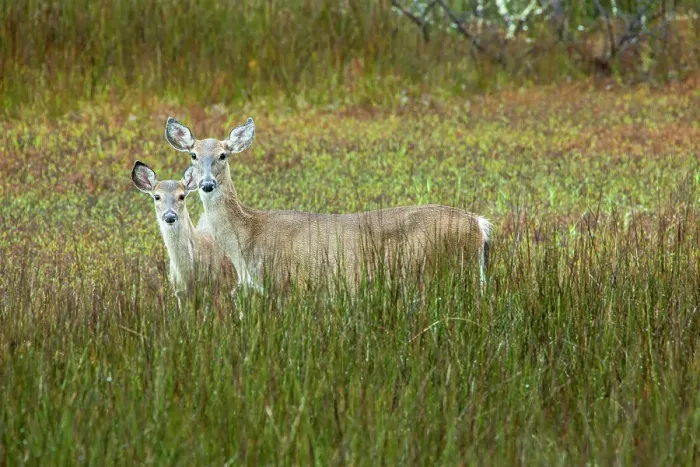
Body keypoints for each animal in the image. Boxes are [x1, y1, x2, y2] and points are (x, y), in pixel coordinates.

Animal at [163, 117, 491, 296]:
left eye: (223, 155)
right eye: (193, 154)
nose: (206, 184)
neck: (248, 236)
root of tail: (479, 223)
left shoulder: (287, 281)